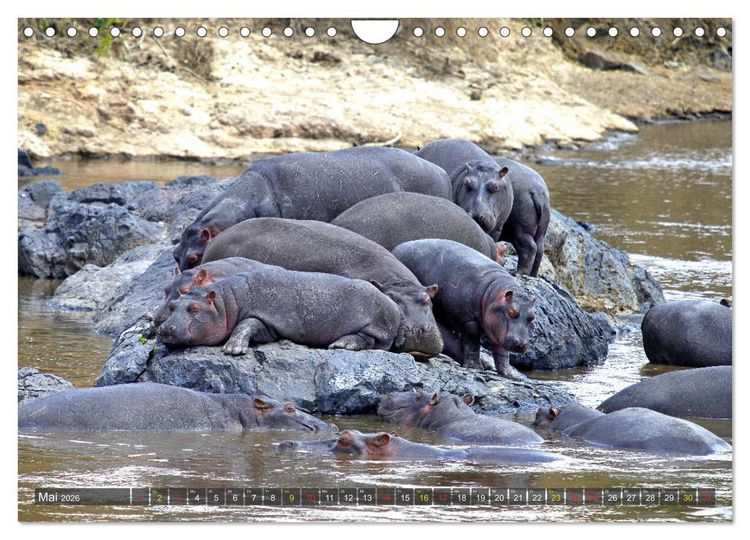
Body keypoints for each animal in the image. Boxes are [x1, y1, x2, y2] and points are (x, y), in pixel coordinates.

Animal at [157, 265, 405, 354]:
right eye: (172, 306)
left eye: (195, 308)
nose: (165, 328)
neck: (226, 303)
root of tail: (395, 305)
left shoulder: (267, 319)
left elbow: (246, 324)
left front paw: (233, 349)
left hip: (375, 325)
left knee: (368, 340)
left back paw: (341, 344)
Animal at [392, 239, 535, 378]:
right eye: (511, 312)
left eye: (532, 317)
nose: (521, 344)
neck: (493, 294)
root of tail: (398, 247)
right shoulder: (469, 321)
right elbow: (472, 343)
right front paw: (475, 367)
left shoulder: (499, 331)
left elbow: (502, 352)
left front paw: (509, 374)